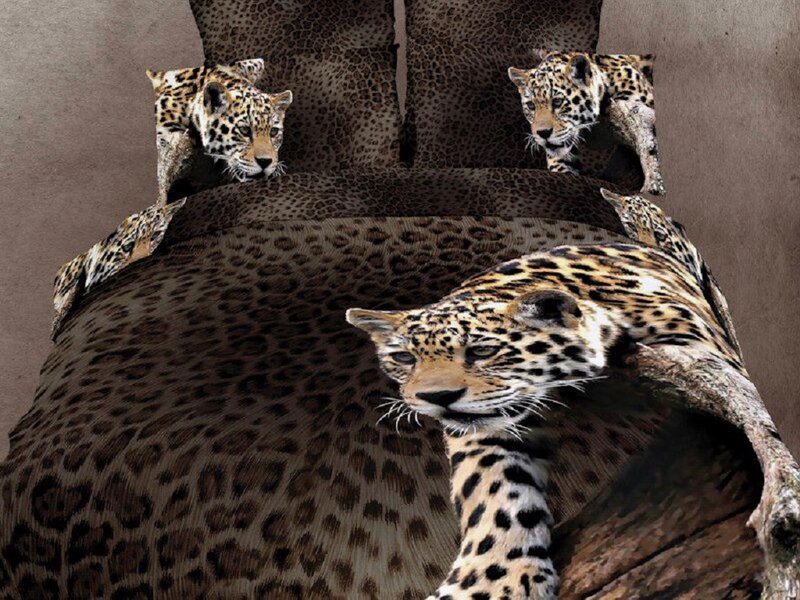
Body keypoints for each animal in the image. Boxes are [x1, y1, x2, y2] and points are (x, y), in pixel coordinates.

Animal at [348, 242, 744, 599]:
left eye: (482, 351)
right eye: (404, 358)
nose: (436, 398)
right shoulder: (491, 429)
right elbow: (494, 489)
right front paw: (488, 581)